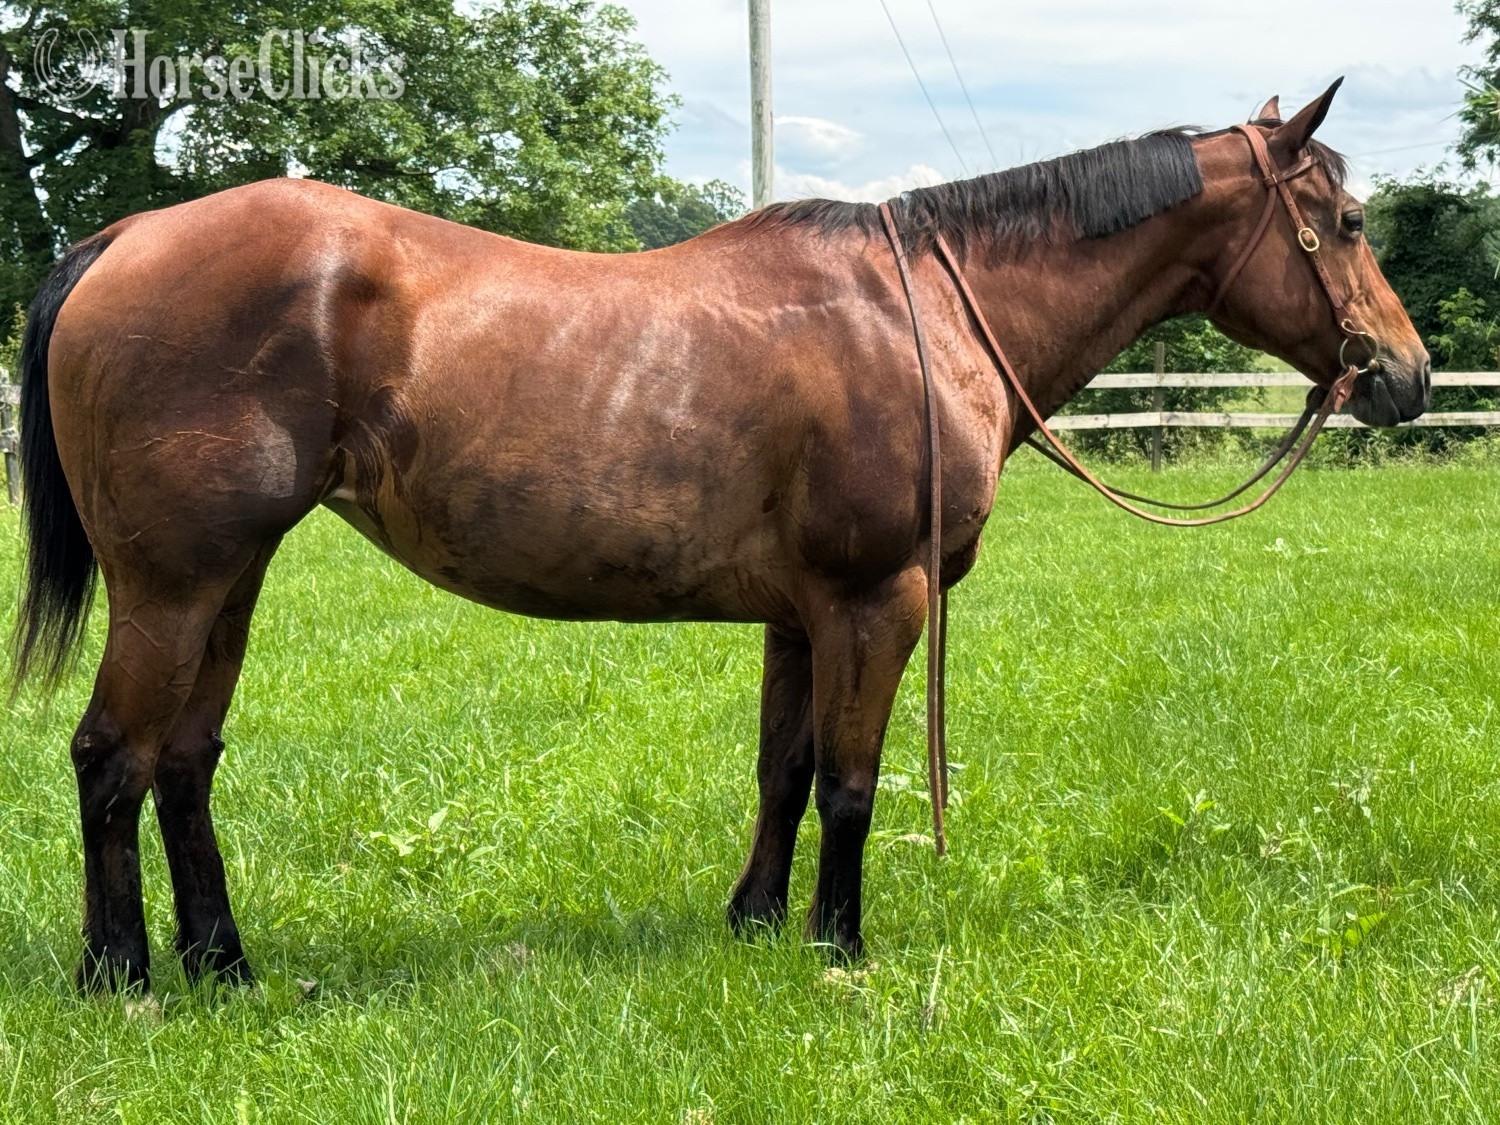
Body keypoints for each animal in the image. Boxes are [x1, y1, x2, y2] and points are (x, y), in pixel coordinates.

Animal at [13, 80, 1427, 991]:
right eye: (1351, 224)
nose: (1405, 376)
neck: (923, 315)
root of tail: (124, 239)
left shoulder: (803, 616)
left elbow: (785, 772)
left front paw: (755, 926)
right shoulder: (877, 598)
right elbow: (854, 782)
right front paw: (839, 951)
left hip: (229, 584)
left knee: (184, 762)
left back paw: (225, 965)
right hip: (172, 586)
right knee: (111, 759)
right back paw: (121, 974)